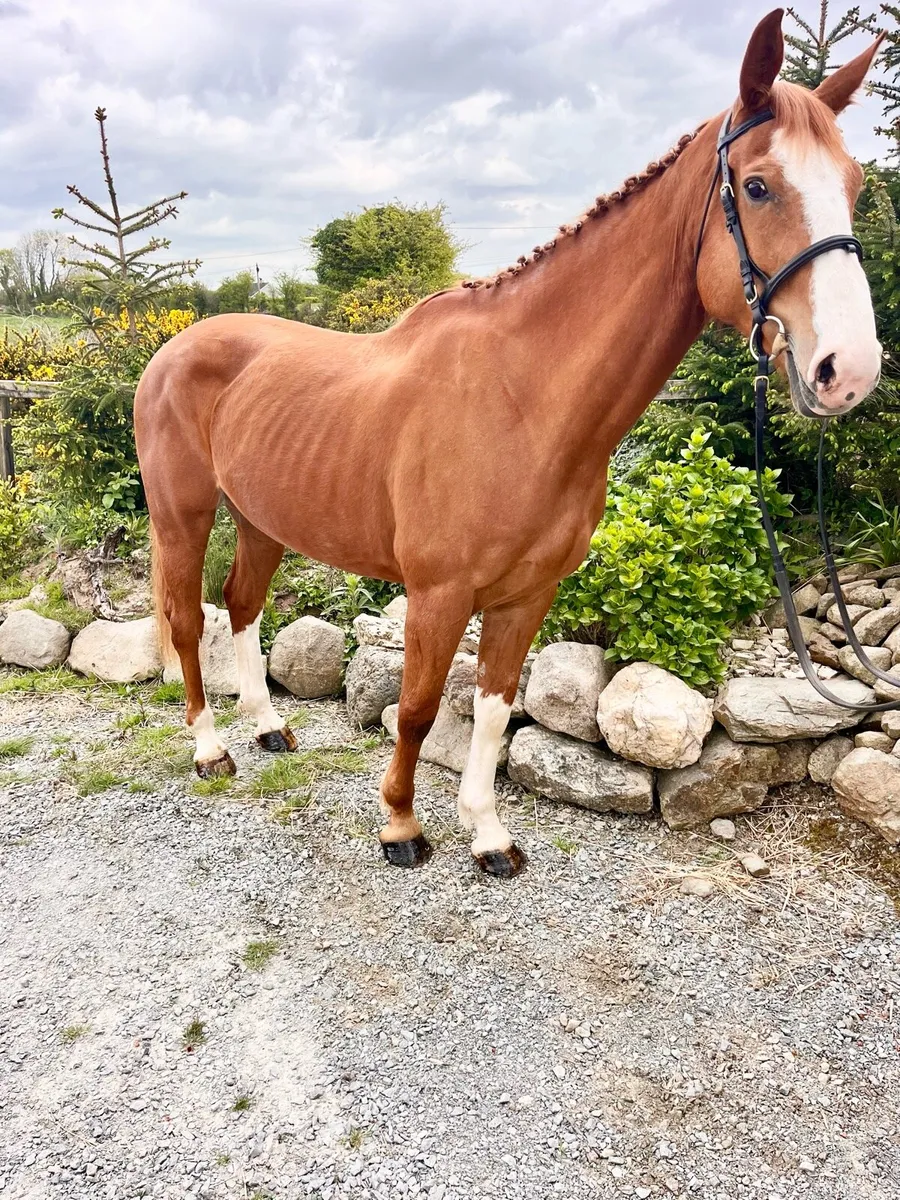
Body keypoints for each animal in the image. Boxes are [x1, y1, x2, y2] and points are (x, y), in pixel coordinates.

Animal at [135, 9, 883, 878]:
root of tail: (174, 348)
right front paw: (400, 827)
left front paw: (489, 835)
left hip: (260, 519)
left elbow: (492, 711)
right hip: (183, 515)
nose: (849, 369)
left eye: (855, 185)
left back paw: (266, 729)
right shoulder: (437, 594)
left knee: (242, 606)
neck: (524, 399)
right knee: (187, 620)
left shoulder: (528, 597)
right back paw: (210, 749)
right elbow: (419, 708)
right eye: (759, 185)